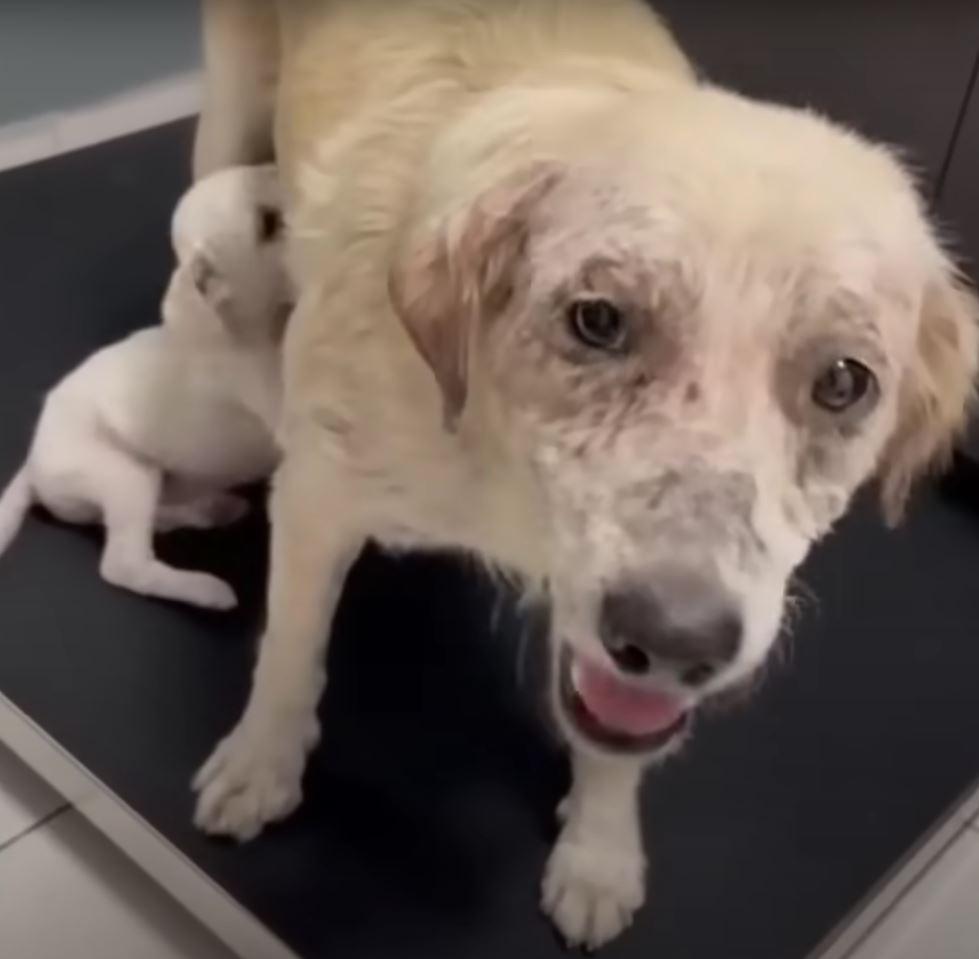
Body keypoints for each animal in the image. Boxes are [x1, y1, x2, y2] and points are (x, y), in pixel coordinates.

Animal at [0, 166, 290, 612]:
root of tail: (32, 463)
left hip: (153, 481)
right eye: (268, 223)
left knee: (157, 520)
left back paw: (211, 511)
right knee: (123, 564)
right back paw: (205, 589)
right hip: (125, 475)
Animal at [188, 0, 976, 944]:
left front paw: (599, 851)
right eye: (597, 320)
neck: (486, 439)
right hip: (225, 124)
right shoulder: (315, 498)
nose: (675, 639)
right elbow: (289, 649)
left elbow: (611, 746)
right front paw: (262, 759)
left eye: (843, 381)